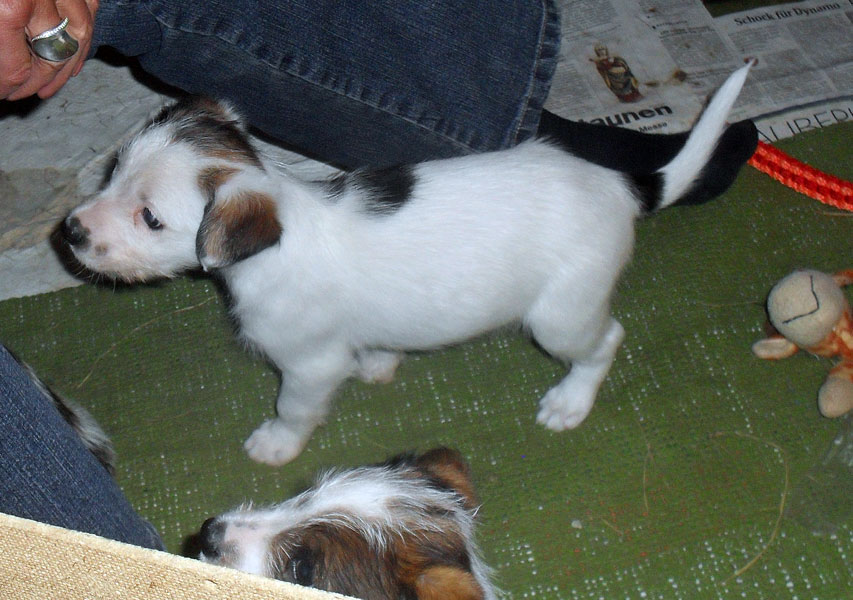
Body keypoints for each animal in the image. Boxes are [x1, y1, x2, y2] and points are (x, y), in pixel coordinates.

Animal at [62, 63, 752, 465]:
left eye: (151, 218)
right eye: (114, 170)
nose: (69, 232)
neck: (276, 235)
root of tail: (620, 186)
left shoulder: (308, 365)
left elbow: (293, 408)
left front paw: (276, 444)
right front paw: (379, 363)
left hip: (562, 315)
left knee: (606, 340)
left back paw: (569, 402)